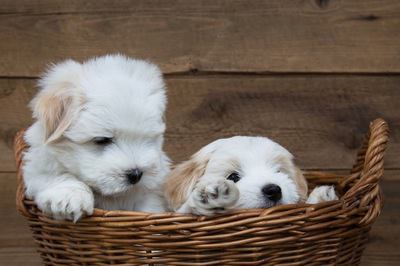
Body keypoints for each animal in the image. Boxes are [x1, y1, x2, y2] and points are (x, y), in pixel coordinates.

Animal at [23, 55, 170, 221]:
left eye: (148, 138)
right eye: (102, 140)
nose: (136, 174)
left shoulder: (151, 193)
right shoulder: (40, 166)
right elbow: (58, 175)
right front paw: (70, 197)